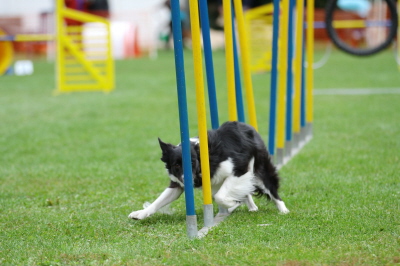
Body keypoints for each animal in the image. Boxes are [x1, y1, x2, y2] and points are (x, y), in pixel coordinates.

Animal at [130, 121, 290, 219]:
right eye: (176, 165)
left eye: (192, 162)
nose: (189, 181)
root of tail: (246, 126)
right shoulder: (177, 183)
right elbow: (159, 200)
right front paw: (140, 213)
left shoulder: (239, 169)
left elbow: (220, 196)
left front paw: (232, 204)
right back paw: (252, 207)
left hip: (259, 171)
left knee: (271, 189)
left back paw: (283, 210)